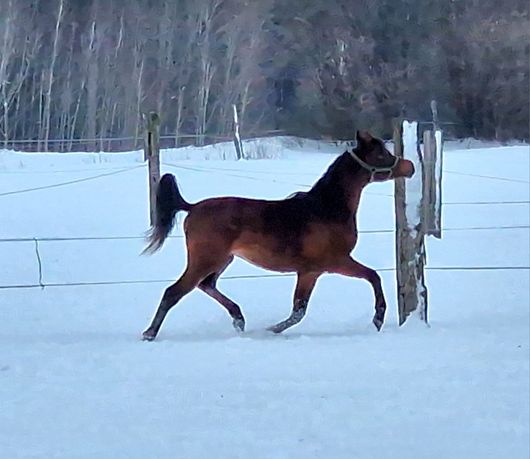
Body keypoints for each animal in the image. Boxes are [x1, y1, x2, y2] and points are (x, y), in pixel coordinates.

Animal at [140, 130, 412, 342]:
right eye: (381, 154)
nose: (409, 167)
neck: (326, 208)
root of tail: (192, 207)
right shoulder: (335, 262)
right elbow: (373, 276)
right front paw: (378, 318)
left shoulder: (310, 271)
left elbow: (298, 310)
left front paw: (271, 330)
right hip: (206, 259)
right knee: (175, 291)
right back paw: (149, 333)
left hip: (222, 260)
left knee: (206, 285)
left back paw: (239, 319)